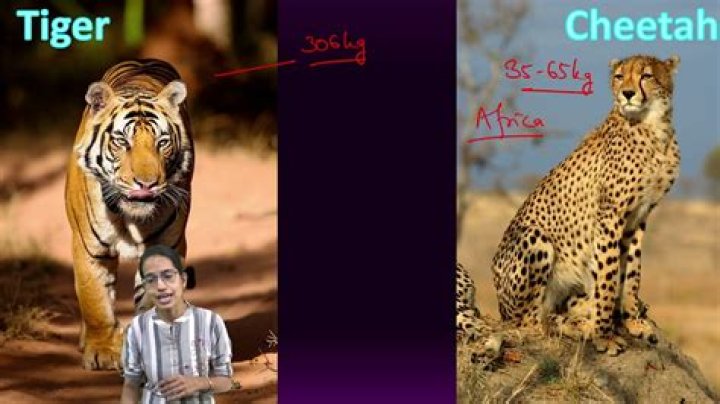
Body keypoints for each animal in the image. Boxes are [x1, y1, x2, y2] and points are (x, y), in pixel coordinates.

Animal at [64, 59, 194, 370]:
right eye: (122, 142)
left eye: (162, 143)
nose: (146, 183)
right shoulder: (89, 248)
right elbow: (95, 300)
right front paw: (101, 352)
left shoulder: (167, 245)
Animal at [490, 55, 680, 356]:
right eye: (619, 76)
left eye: (646, 76)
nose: (627, 93)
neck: (653, 127)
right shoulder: (610, 216)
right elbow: (608, 275)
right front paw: (604, 334)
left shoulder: (638, 217)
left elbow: (631, 273)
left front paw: (633, 321)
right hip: (534, 238)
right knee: (533, 322)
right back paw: (580, 326)